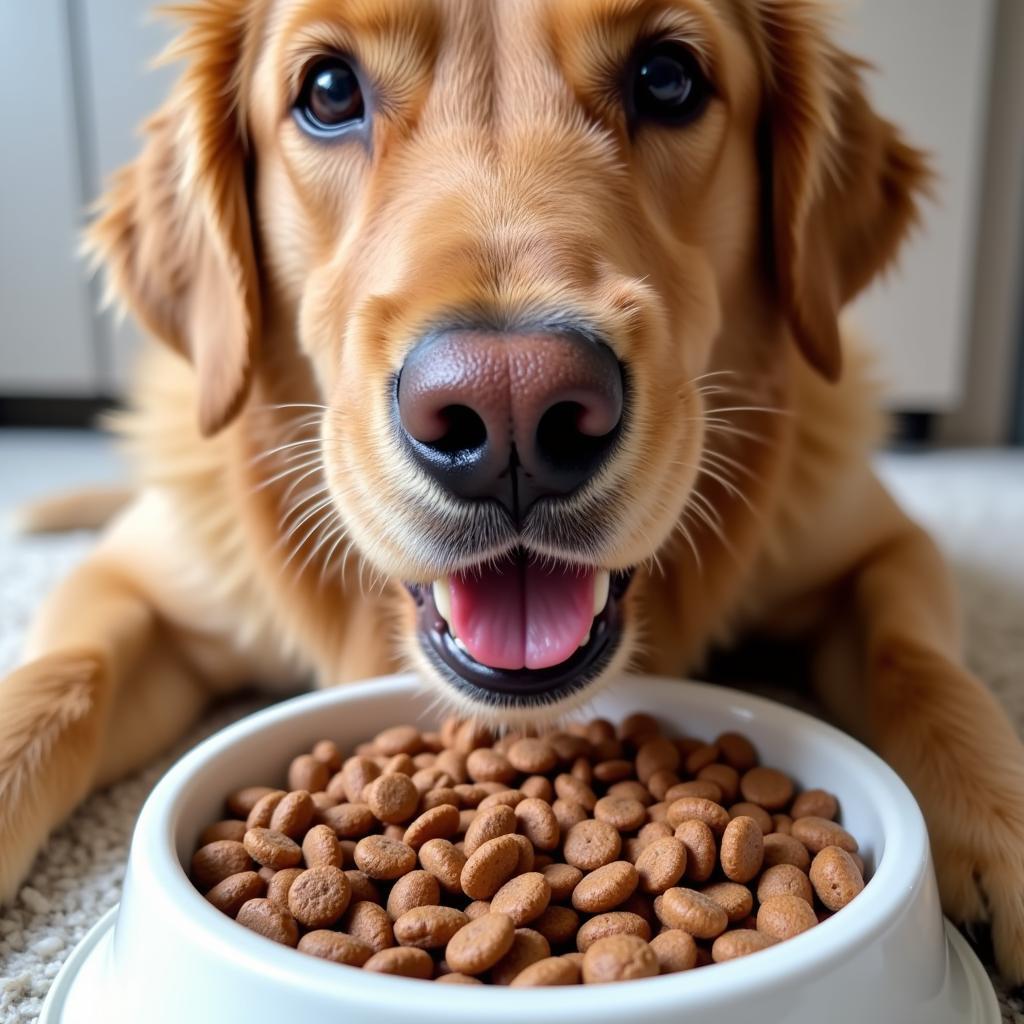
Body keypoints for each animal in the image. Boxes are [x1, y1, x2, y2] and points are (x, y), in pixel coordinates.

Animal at [2, 0, 1024, 983]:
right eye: (329, 91)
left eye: (667, 77)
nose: (511, 411)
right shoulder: (137, 583)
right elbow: (59, 685)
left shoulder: (877, 546)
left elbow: (921, 668)